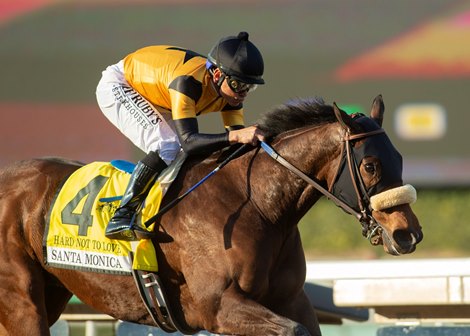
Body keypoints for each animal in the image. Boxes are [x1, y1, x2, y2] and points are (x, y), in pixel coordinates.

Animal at [0, 95, 422, 336]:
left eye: (400, 158)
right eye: (369, 165)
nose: (408, 234)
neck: (259, 207)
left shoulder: (290, 299)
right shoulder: (218, 306)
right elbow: (293, 331)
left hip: (51, 292)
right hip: (21, 302)